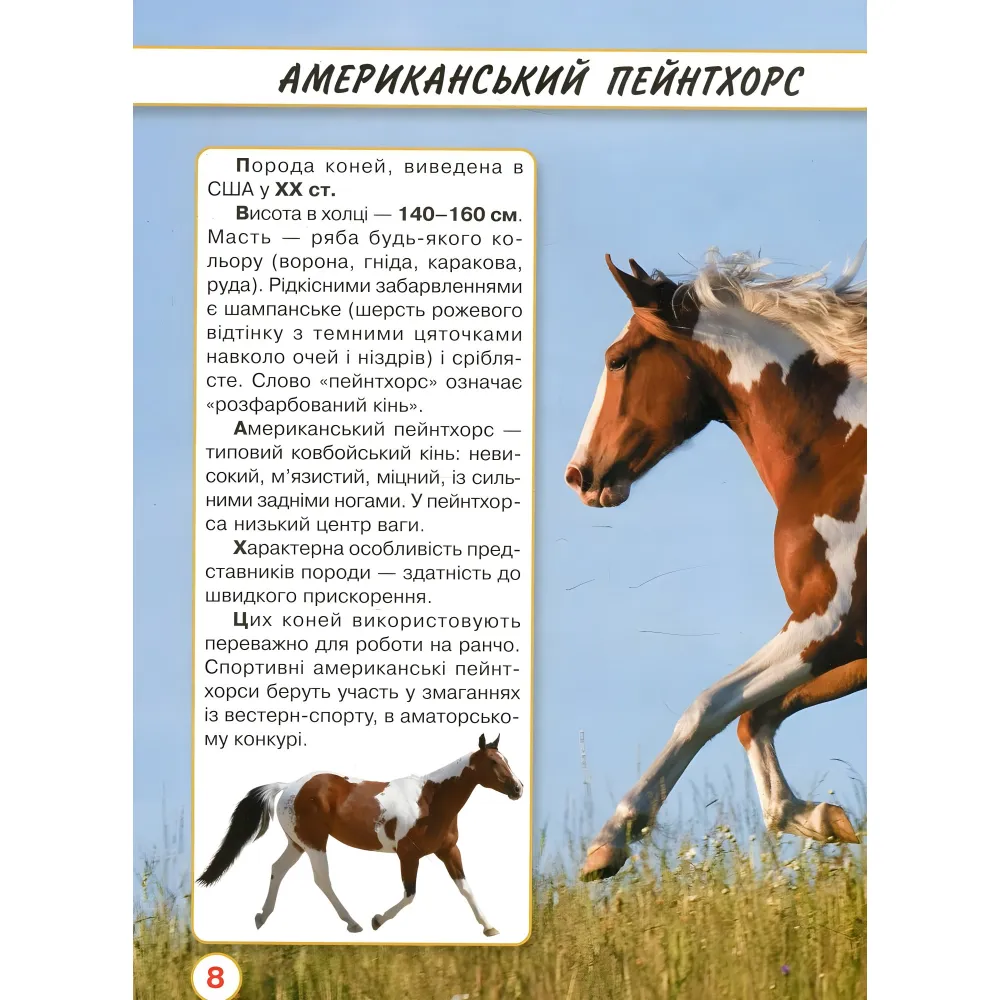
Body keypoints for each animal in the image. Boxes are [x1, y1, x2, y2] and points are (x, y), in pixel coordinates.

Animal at [196, 734, 524, 936]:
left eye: (506, 759)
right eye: (493, 762)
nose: (518, 789)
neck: (431, 801)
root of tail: (289, 786)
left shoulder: (448, 851)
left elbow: (466, 888)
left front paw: (490, 927)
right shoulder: (408, 855)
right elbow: (410, 895)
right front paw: (377, 920)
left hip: (298, 844)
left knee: (278, 869)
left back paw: (261, 918)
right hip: (315, 843)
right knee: (322, 880)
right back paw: (353, 924)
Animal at [565, 246, 867, 881]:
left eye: (617, 360)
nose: (579, 475)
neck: (841, 456)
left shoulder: (830, 623)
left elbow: (706, 708)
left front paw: (611, 840)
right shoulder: (845, 643)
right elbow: (754, 719)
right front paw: (823, 818)